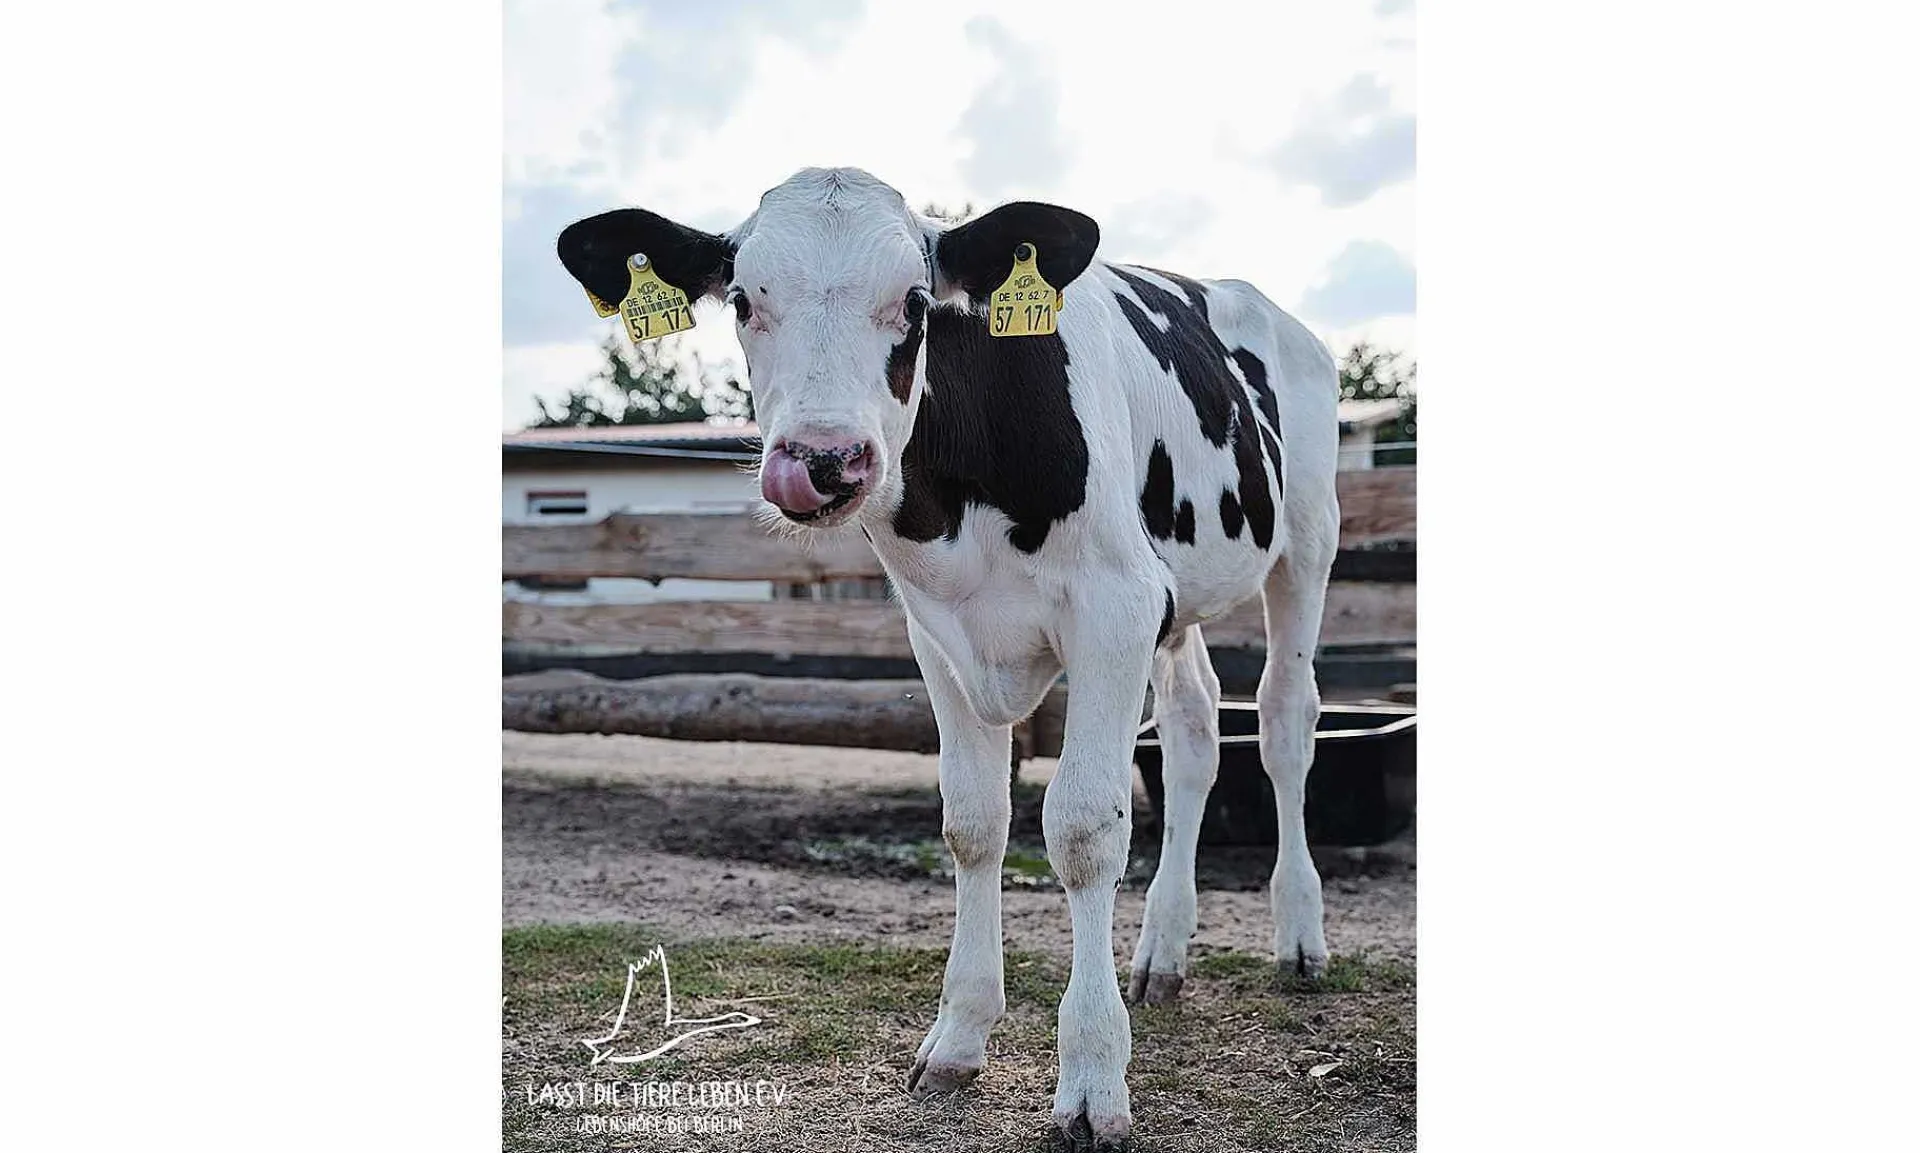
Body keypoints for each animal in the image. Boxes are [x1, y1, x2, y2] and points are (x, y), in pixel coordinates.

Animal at [557, 167, 1339, 1146]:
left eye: (917, 302)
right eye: (742, 299)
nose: (822, 460)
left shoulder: (1113, 608)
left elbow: (1083, 828)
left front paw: (1092, 1076)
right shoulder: (941, 629)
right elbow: (973, 822)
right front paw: (959, 1034)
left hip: (1306, 541)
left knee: (1283, 721)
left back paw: (1299, 936)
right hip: (1177, 589)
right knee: (1194, 732)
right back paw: (1162, 950)